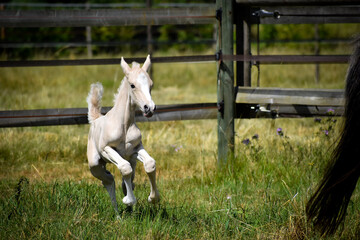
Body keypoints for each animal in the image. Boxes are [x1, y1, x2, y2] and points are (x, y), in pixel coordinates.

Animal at [86, 55, 159, 213]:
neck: (124, 125)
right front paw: (129, 200)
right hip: (95, 165)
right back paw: (118, 215)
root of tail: (95, 119)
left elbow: (150, 164)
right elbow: (125, 169)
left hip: (131, 159)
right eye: (132, 85)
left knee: (125, 180)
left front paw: (153, 198)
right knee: (109, 181)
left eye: (151, 84)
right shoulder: (106, 149)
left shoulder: (136, 149)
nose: (149, 108)